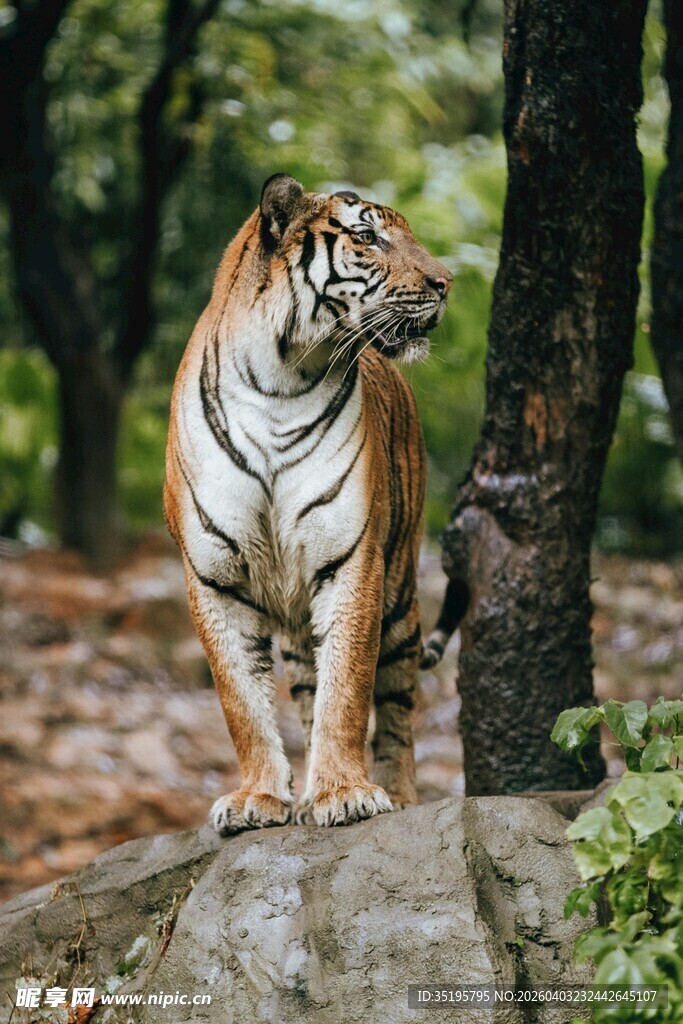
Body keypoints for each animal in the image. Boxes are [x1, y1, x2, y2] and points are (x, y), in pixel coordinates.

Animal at [164, 173, 453, 835]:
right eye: (369, 238)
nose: (445, 283)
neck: (280, 378)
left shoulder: (352, 560)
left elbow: (346, 688)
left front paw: (344, 793)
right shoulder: (213, 577)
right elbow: (242, 700)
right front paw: (259, 797)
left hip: (401, 594)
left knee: (396, 706)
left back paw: (400, 794)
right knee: (303, 690)